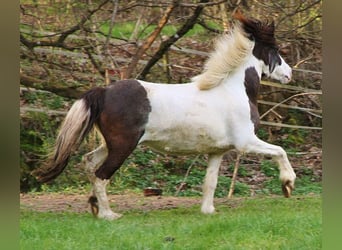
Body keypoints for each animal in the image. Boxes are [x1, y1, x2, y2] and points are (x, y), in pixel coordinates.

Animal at [35, 12, 296, 220]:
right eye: (276, 51)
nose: (289, 74)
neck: (233, 89)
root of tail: (104, 91)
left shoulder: (217, 151)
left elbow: (210, 182)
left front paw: (208, 211)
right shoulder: (246, 142)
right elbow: (280, 151)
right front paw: (287, 184)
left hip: (110, 145)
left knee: (89, 162)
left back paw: (94, 206)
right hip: (123, 146)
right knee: (101, 175)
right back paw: (109, 215)